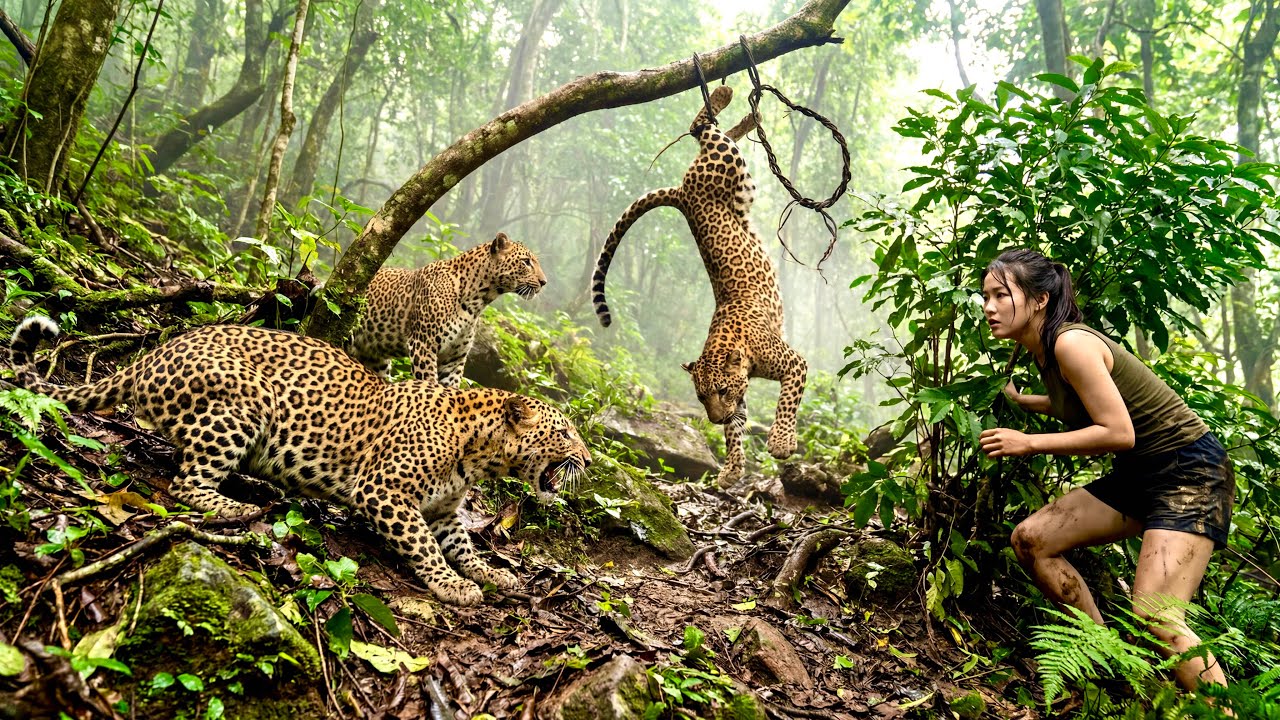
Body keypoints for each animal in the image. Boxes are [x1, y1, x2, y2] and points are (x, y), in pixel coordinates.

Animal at [9, 318, 590, 606]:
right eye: (563, 432)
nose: (586, 458)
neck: (478, 452)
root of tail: (149, 356)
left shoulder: (445, 511)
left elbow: (462, 546)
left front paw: (491, 575)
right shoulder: (384, 491)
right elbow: (425, 548)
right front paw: (451, 585)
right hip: (246, 401)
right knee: (186, 482)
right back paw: (236, 507)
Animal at [348, 232, 547, 384]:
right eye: (526, 262)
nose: (544, 282)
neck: (478, 300)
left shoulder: (454, 359)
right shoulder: (423, 345)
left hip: (376, 360)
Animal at [591, 85, 807, 488]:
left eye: (719, 390)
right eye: (701, 396)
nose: (714, 417)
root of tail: (680, 194)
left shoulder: (794, 364)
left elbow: (787, 401)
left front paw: (782, 443)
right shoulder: (743, 394)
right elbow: (736, 430)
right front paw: (732, 469)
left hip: (728, 165)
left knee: (703, 129)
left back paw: (726, 94)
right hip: (733, 173)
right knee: (708, 132)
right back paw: (747, 113)